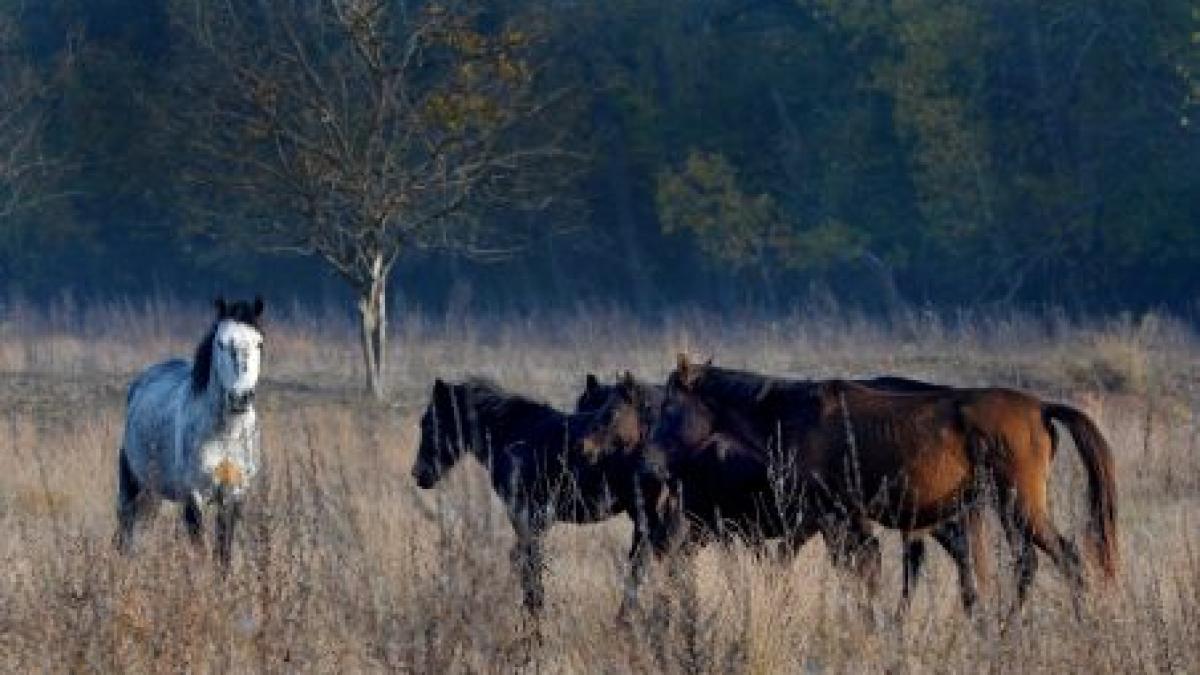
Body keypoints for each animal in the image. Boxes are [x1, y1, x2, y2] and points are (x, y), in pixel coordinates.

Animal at [115, 296, 266, 564]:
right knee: (127, 534)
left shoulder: (233, 496)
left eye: (259, 343)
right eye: (220, 343)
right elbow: (201, 551)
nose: (240, 398)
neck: (226, 435)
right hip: (132, 486)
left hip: (153, 494)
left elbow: (223, 554)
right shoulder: (194, 497)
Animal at [410, 374, 657, 612]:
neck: (512, 432)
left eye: (428, 422)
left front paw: (534, 615)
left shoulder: (526, 515)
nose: (418, 473)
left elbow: (531, 567)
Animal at [580, 367, 993, 610]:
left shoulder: (705, 528)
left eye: (610, 412)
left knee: (954, 558)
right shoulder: (714, 530)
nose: (583, 446)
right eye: (584, 405)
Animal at [652, 357, 1118, 610]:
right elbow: (862, 572)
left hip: (1017, 505)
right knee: (1025, 564)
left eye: (669, 407)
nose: (651, 460)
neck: (794, 413)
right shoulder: (838, 521)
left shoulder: (833, 518)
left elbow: (860, 574)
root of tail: (1040, 406)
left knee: (1066, 558)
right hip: (1001, 509)